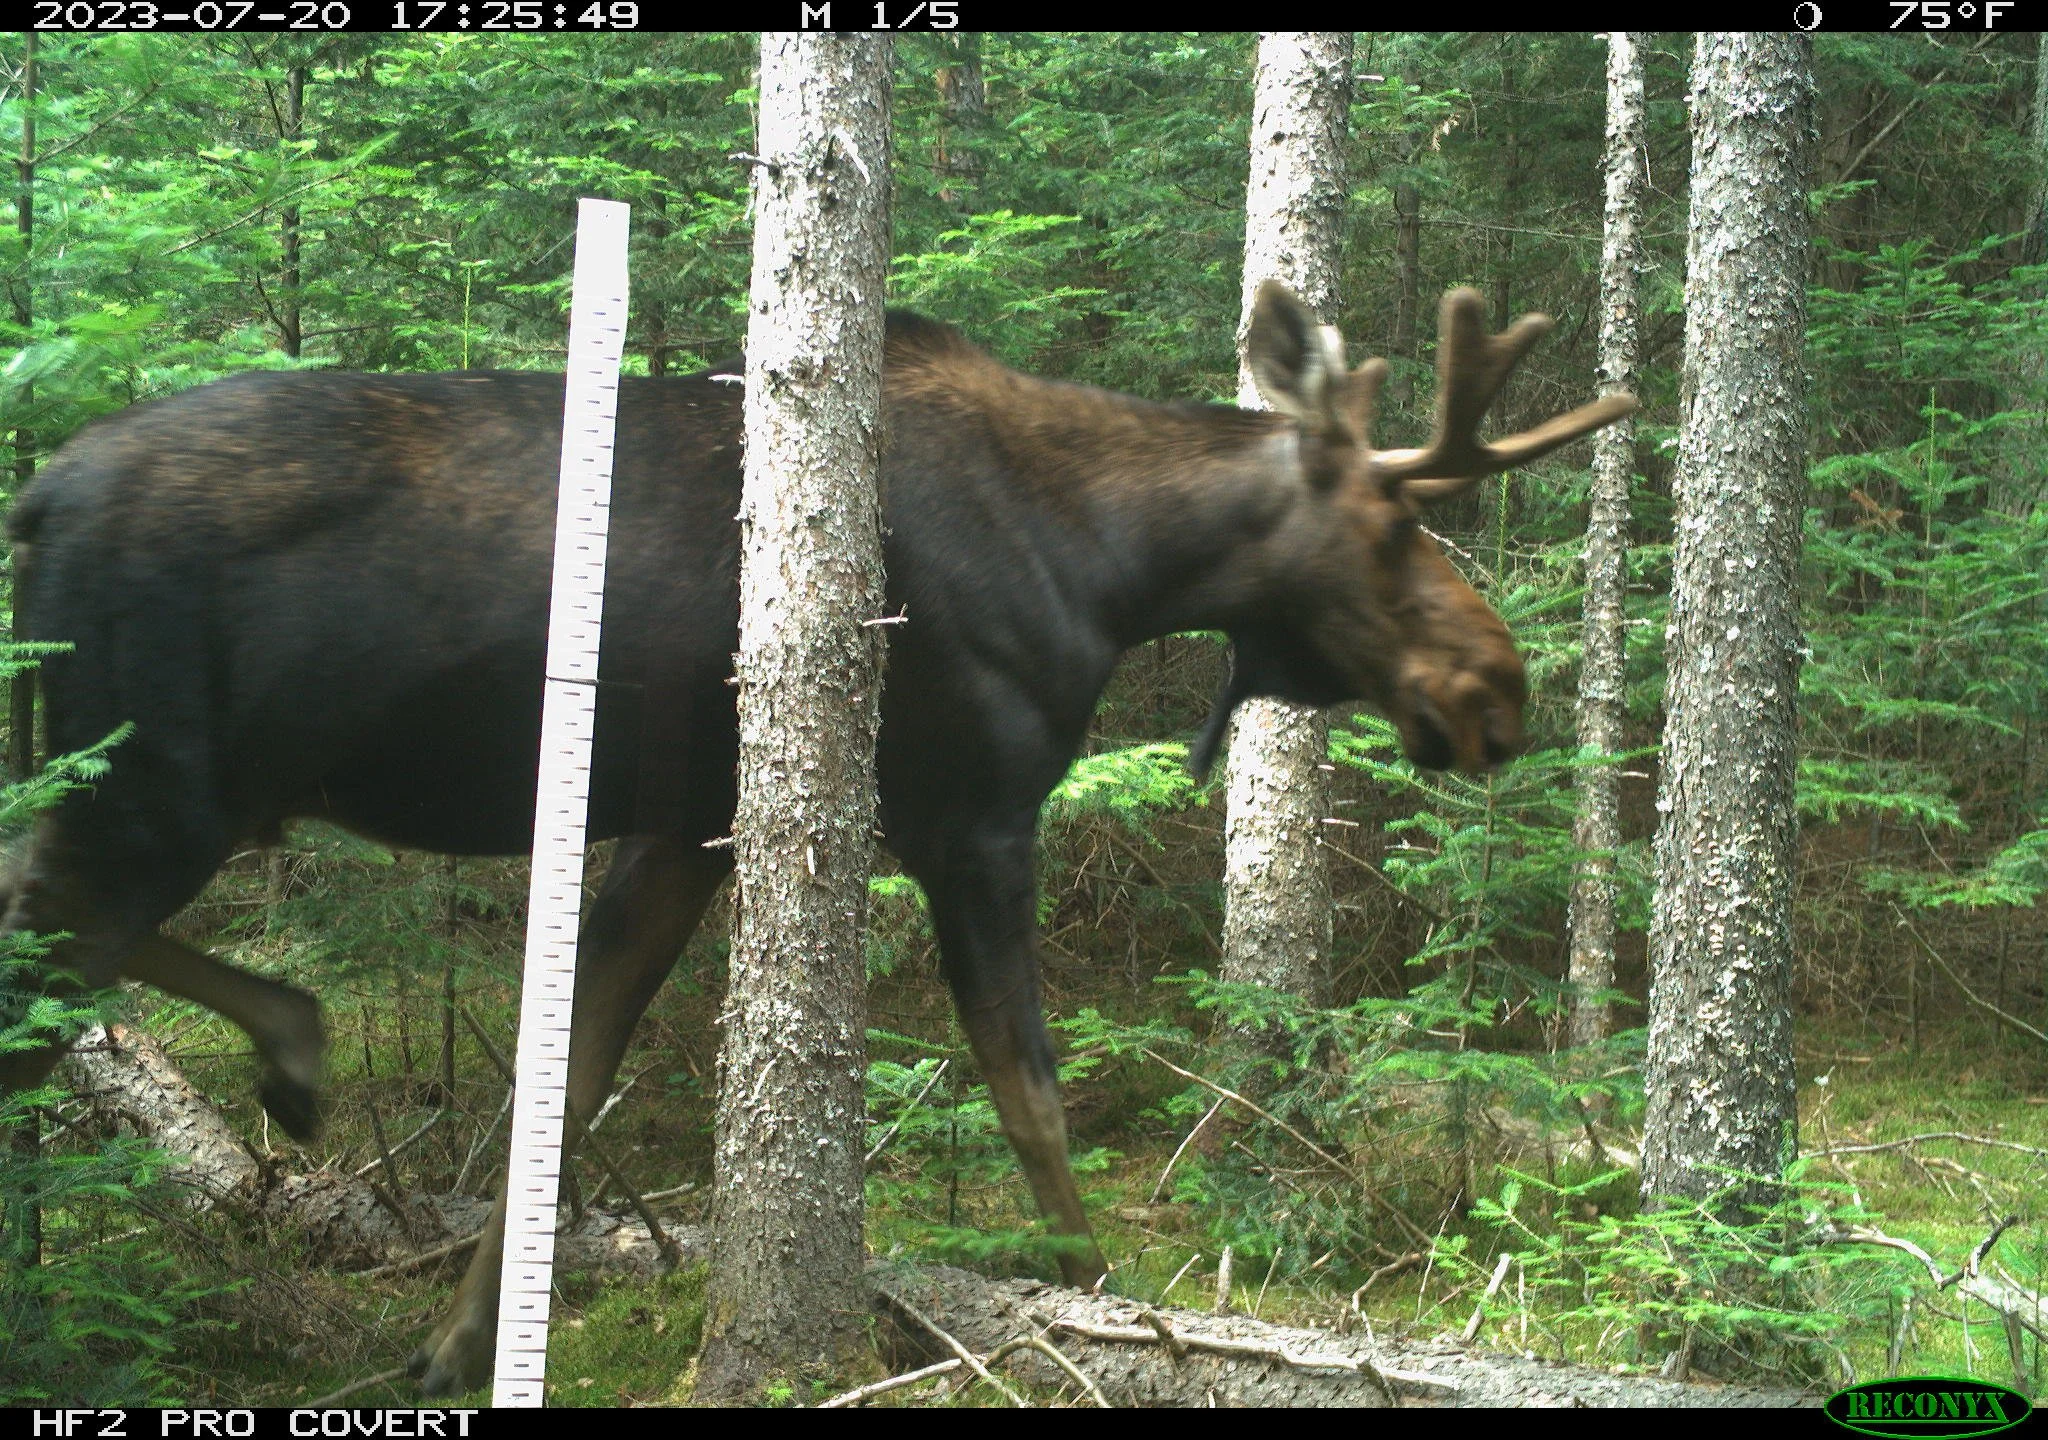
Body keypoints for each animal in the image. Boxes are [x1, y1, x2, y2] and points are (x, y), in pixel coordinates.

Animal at [0, 283, 1632, 1394]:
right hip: (151, 777)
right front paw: (1107, 1306)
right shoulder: (973, 812)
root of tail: (34, 498)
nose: (1500, 689)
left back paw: (287, 1054)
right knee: (46, 969)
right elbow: (1031, 1090)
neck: (1117, 567)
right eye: (1397, 522)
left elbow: (569, 1074)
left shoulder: (681, 831)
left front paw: (460, 1344)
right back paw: (269, 1064)